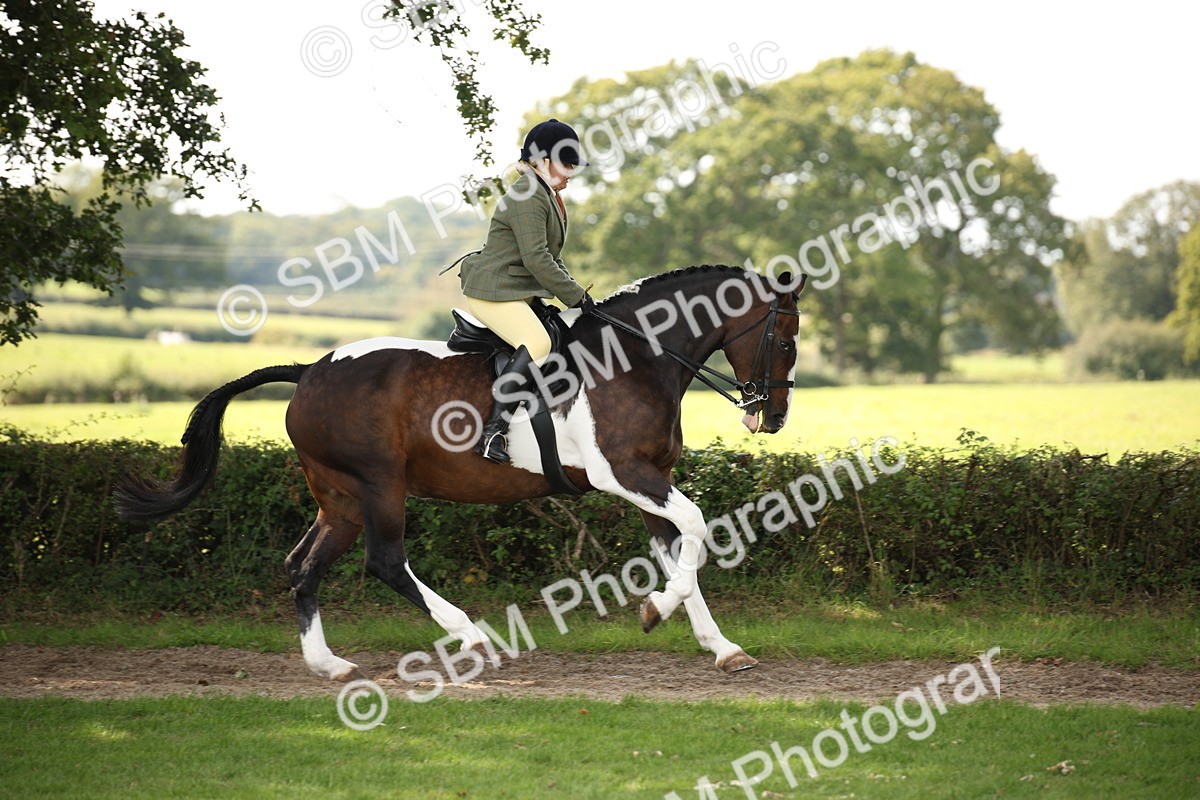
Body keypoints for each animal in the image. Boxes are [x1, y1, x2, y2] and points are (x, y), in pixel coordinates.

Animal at [116, 264, 804, 682]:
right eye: (786, 340)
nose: (771, 417)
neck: (637, 355)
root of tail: (310, 369)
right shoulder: (626, 474)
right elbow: (697, 527)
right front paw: (655, 611)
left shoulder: (646, 480)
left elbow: (683, 550)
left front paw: (718, 645)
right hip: (380, 486)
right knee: (385, 562)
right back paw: (472, 637)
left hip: (339, 497)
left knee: (303, 567)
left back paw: (330, 665)